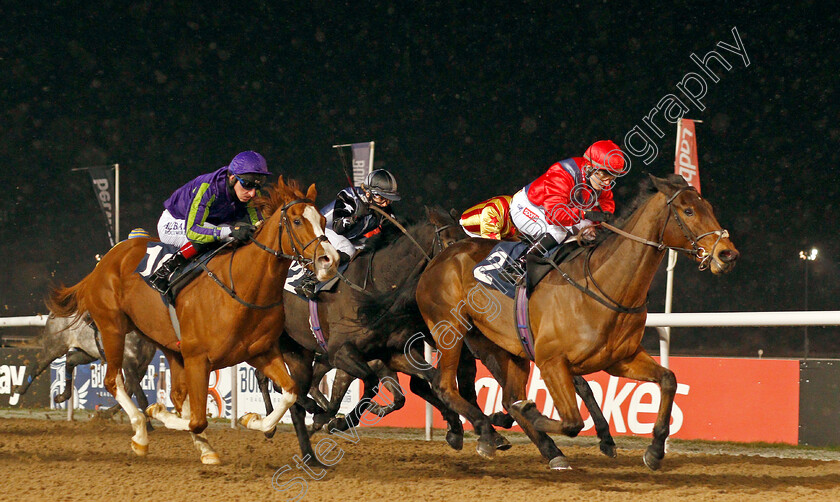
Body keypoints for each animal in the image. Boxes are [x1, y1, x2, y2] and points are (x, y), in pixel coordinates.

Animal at [46, 178, 338, 464]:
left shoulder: (260, 352)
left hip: (166, 343)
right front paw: (157, 412)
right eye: (297, 221)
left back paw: (204, 448)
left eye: (324, 220)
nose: (330, 260)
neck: (242, 287)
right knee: (113, 381)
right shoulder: (199, 358)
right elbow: (197, 420)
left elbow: (289, 392)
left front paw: (252, 420)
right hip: (113, 327)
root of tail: (107, 259)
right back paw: (141, 432)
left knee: (175, 393)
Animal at [416, 174, 740, 470]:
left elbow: (668, 379)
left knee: (508, 397)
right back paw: (488, 432)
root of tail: (441, 257)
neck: (604, 284)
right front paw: (532, 415)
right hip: (451, 329)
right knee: (446, 386)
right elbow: (572, 420)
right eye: (688, 211)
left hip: (502, 346)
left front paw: (655, 450)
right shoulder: (551, 361)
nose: (728, 254)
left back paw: (542, 448)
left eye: (709, 207)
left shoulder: (620, 359)